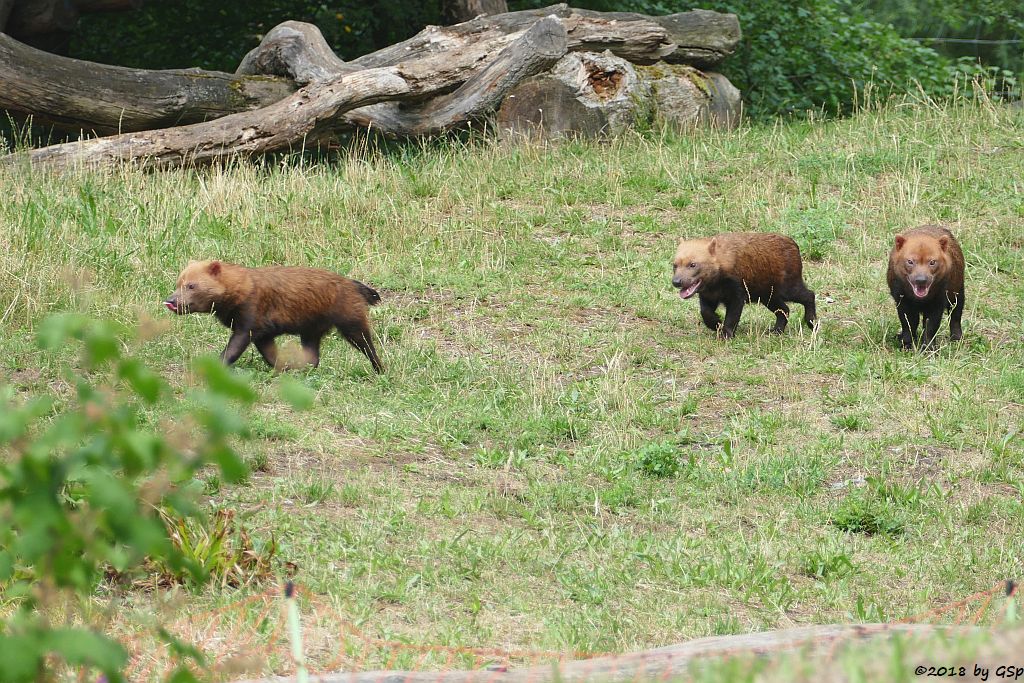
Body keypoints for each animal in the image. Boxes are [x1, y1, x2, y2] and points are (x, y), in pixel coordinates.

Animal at [163, 260, 385, 374]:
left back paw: (380, 370)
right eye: (178, 282)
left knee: (367, 345)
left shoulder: (249, 323)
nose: (171, 301)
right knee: (313, 357)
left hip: (350, 320)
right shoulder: (263, 333)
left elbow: (232, 351)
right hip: (311, 329)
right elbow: (271, 356)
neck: (241, 290)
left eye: (191, 285)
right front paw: (285, 367)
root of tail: (354, 284)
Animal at [671, 231, 815, 337]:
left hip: (788, 287)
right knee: (784, 309)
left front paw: (726, 334)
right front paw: (717, 323)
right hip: (767, 295)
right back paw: (776, 331)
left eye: (693, 264)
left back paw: (811, 322)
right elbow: (705, 312)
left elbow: (732, 316)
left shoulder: (737, 293)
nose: (676, 282)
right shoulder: (707, 296)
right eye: (674, 265)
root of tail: (795, 246)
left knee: (809, 295)